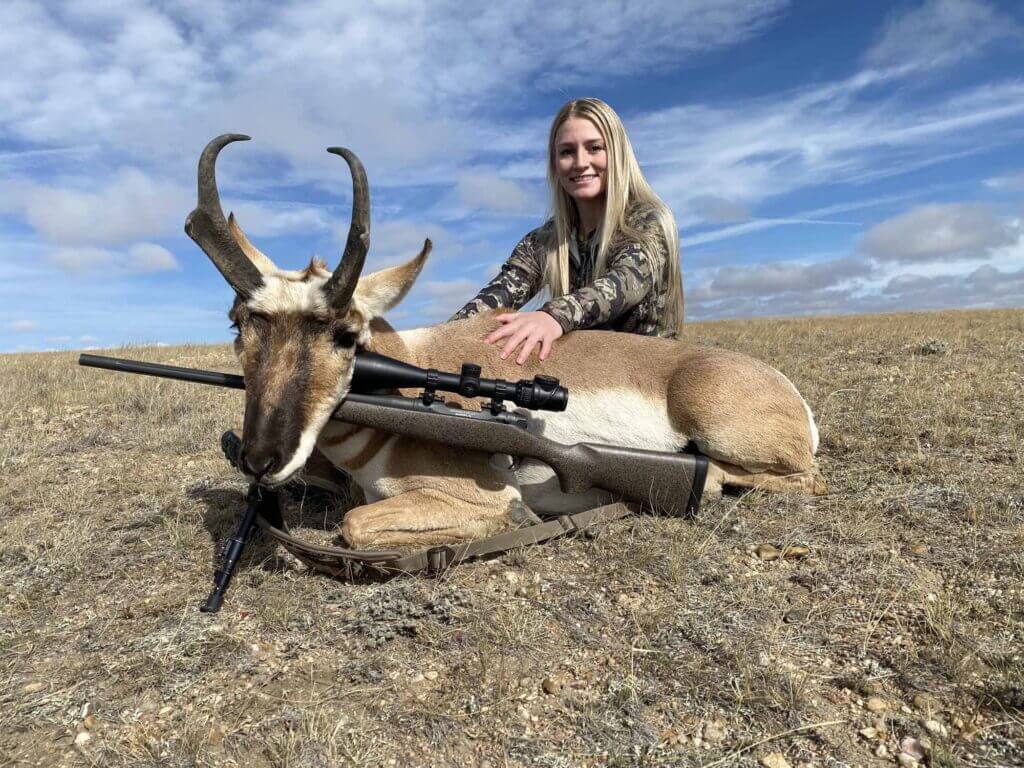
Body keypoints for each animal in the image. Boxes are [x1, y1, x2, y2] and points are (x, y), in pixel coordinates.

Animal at [187, 135, 825, 549]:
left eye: (346, 335)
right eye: (238, 322)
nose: (261, 458)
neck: (407, 368)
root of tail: (788, 394)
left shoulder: (470, 497)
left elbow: (355, 523)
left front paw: (519, 520)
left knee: (796, 477)